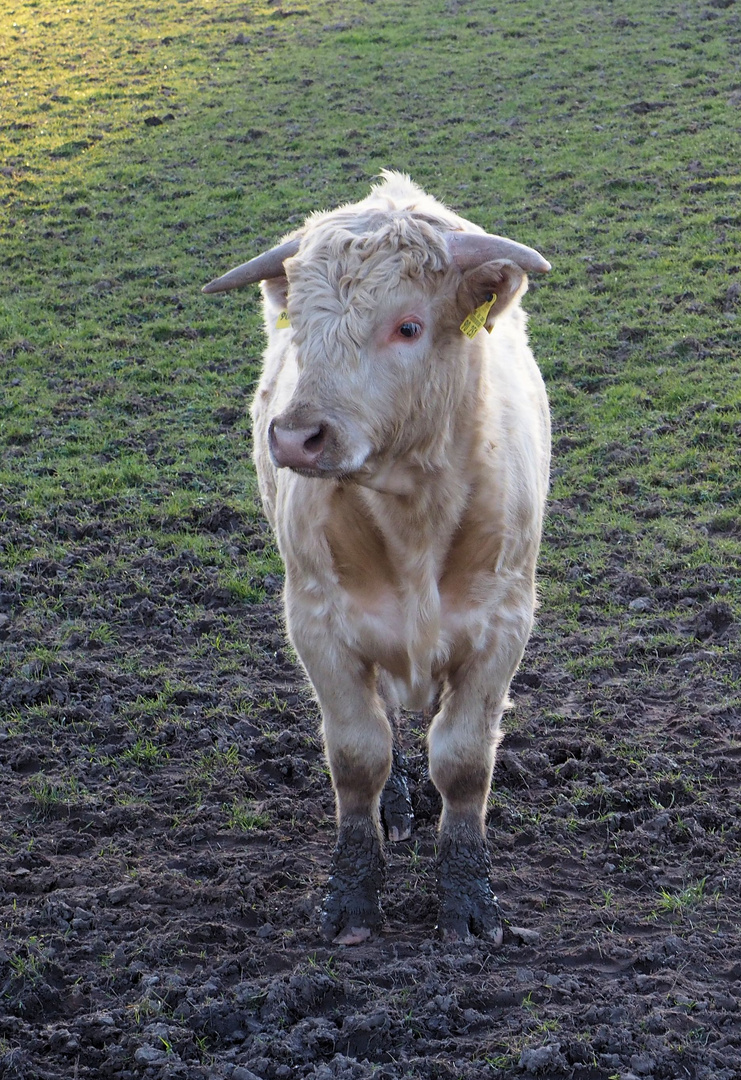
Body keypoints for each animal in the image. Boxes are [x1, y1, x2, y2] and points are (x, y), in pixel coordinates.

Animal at [203, 170, 550, 946]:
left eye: (408, 326)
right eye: (299, 327)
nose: (295, 437)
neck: (412, 516)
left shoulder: (502, 624)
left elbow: (463, 763)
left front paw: (468, 900)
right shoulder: (319, 625)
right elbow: (359, 755)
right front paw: (352, 896)